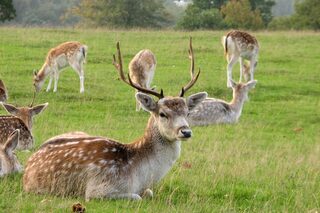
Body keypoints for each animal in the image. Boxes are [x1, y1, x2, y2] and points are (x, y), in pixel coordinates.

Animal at [23, 38, 208, 201]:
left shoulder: (145, 188)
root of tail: (29, 163)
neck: (139, 175)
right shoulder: (98, 189)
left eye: (187, 112)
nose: (186, 131)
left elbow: (149, 193)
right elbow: (136, 197)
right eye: (163, 114)